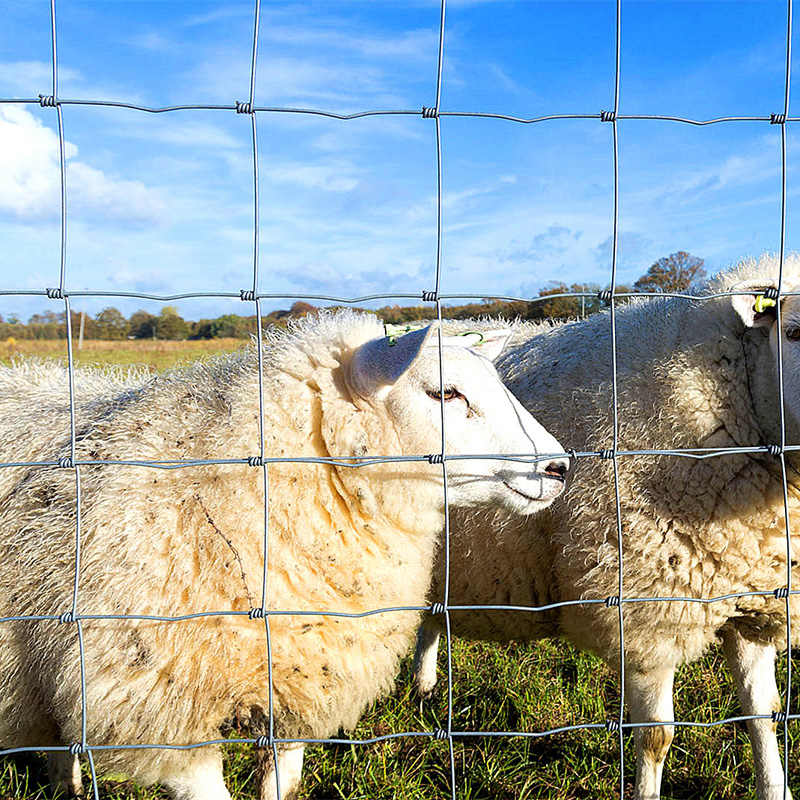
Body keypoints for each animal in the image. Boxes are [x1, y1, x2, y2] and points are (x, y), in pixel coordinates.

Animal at [416, 255, 800, 800]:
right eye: (792, 331)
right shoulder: (644, 614)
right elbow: (657, 737)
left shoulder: (751, 596)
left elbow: (764, 716)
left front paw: (775, 787)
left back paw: (425, 685)